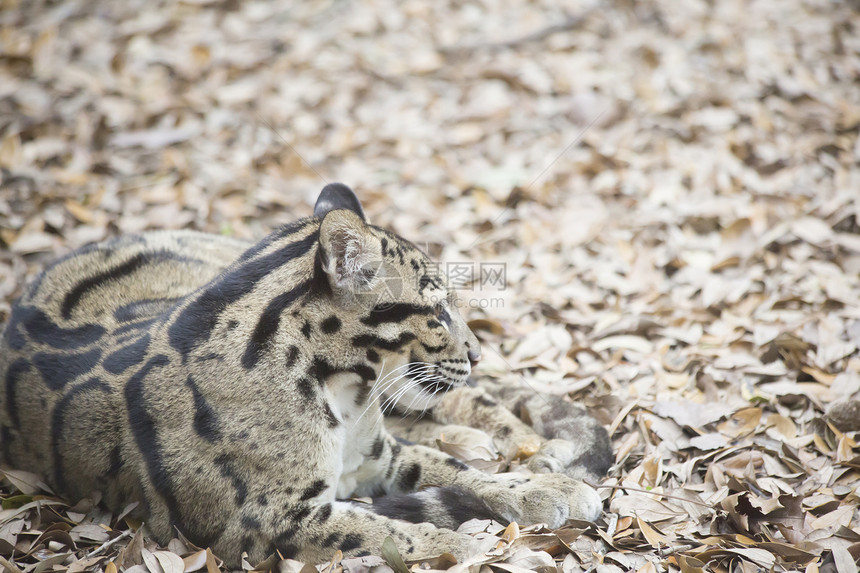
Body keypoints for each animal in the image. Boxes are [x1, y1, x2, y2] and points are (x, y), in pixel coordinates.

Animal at [0, 185, 612, 564]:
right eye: (437, 311)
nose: (479, 351)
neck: (346, 390)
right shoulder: (266, 522)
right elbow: (381, 529)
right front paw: (458, 548)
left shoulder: (380, 457)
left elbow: (462, 474)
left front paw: (544, 487)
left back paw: (533, 446)